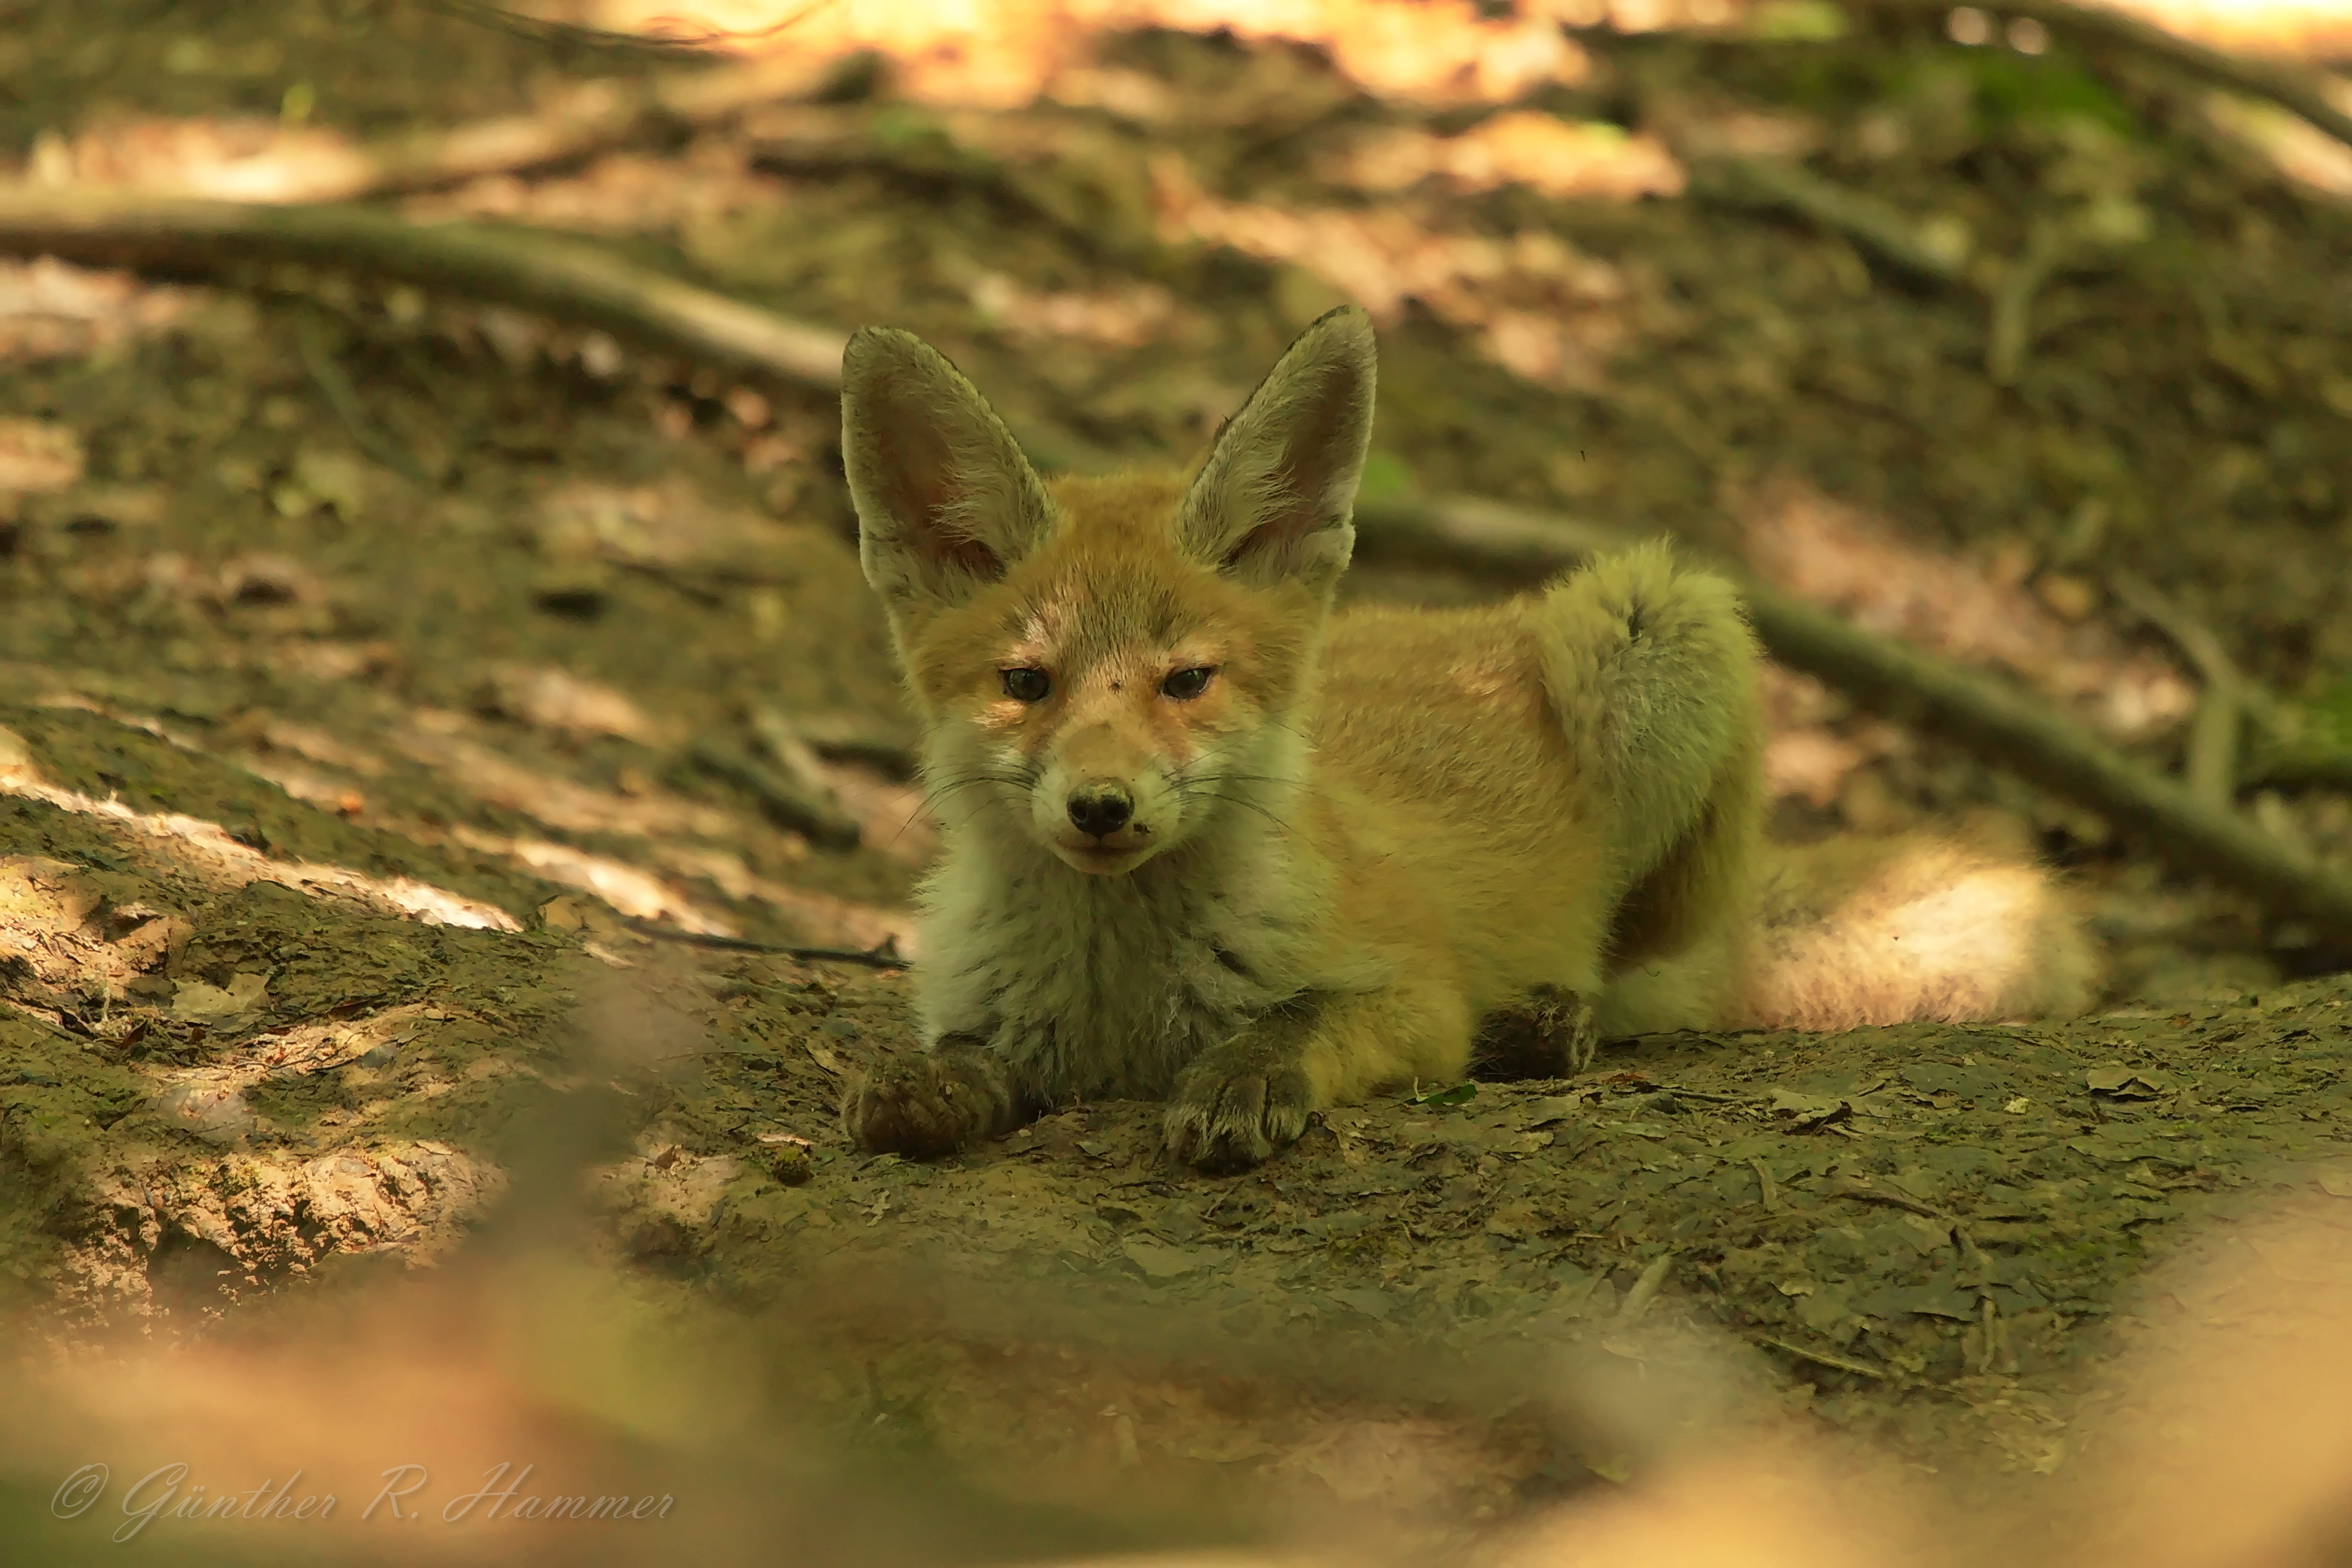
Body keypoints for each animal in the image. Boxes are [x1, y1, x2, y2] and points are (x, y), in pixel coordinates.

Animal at [842, 303, 2098, 1166]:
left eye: (1187, 680)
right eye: (1026, 683)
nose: (1101, 808)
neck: (1123, 1002)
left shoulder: (1412, 990)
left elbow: (1303, 1021)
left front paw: (1243, 1076)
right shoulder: (987, 1012)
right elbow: (962, 1061)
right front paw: (921, 1092)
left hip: (1655, 625)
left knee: (1636, 973)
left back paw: (1541, 1023)